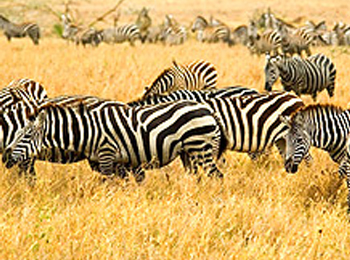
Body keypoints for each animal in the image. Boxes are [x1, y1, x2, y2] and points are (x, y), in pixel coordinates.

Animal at [2, 99, 227, 183]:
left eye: (26, 136)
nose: (7, 159)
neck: (89, 132)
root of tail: (208, 110)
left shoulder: (107, 154)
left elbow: (109, 184)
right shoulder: (116, 161)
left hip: (201, 147)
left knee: (217, 175)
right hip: (189, 152)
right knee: (197, 176)